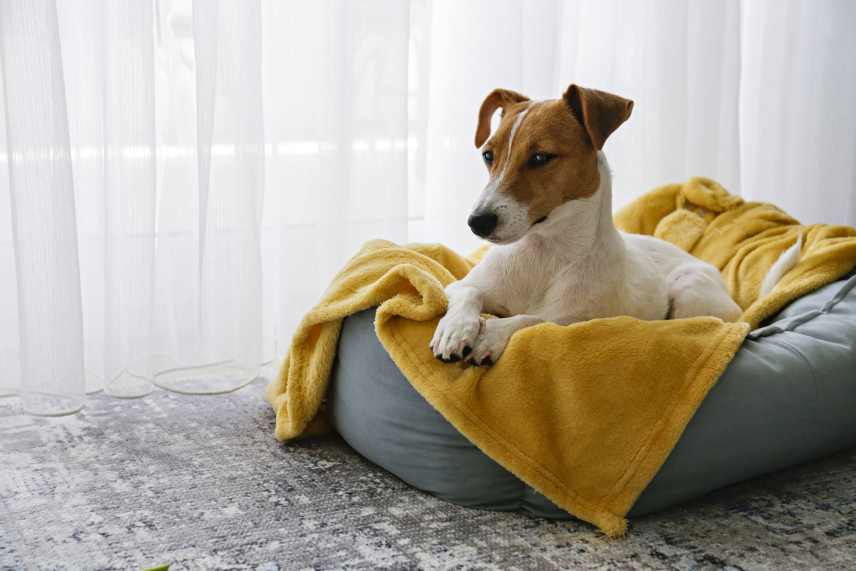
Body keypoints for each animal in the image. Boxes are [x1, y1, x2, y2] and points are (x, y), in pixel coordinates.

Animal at [432, 84, 792, 366]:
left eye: (540, 158)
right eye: (488, 155)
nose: (477, 222)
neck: (543, 253)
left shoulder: (575, 323)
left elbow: (529, 318)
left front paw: (490, 335)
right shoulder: (461, 285)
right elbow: (467, 295)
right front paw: (455, 329)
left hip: (689, 290)